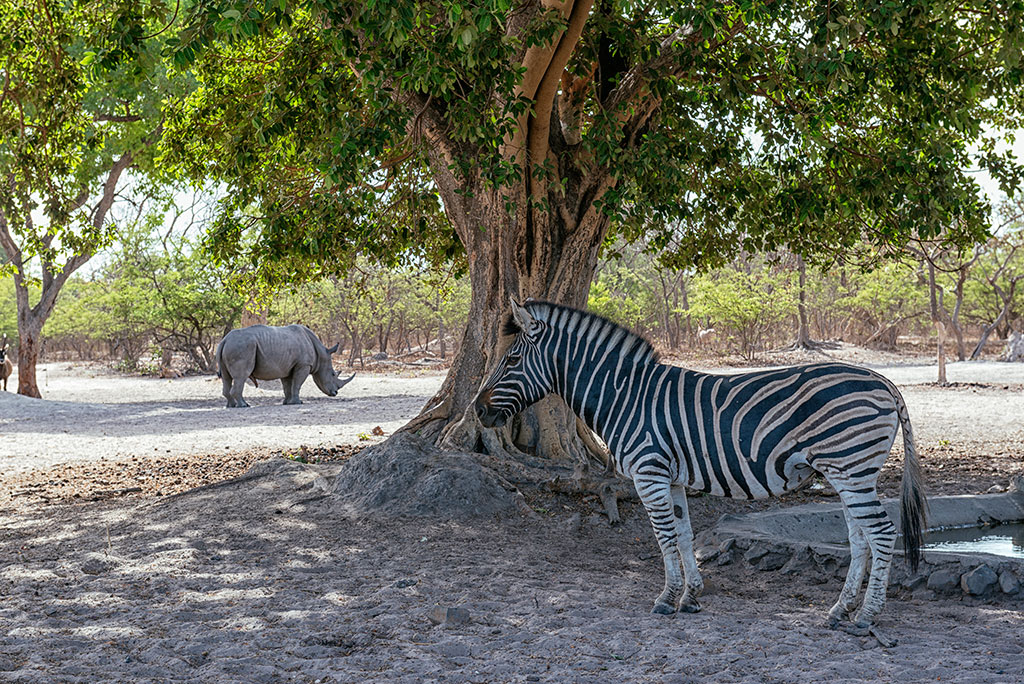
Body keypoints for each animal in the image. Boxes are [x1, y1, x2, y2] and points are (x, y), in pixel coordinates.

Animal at [475, 296, 925, 643]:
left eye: (512, 359)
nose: (477, 411)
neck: (623, 395)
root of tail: (884, 382)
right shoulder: (671, 477)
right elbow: (685, 533)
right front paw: (690, 596)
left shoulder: (649, 472)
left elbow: (664, 537)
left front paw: (666, 599)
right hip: (846, 472)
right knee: (860, 538)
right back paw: (840, 610)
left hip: (851, 469)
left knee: (881, 533)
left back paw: (866, 617)